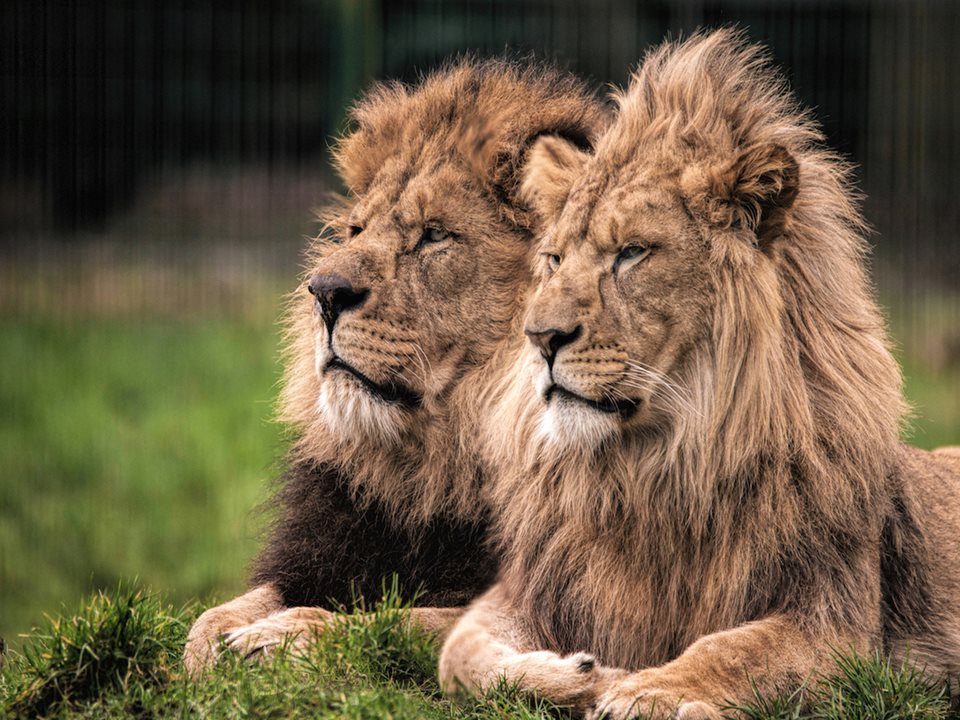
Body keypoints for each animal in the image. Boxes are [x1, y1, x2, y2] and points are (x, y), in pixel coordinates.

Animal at [182, 59, 608, 672]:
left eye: (434, 235)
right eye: (357, 231)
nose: (323, 292)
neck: (431, 472)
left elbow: (392, 623)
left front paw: (281, 639)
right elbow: (218, 613)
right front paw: (203, 655)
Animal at [438, 29, 960, 720]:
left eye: (632, 253)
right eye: (552, 259)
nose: (540, 337)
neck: (657, 468)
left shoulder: (839, 626)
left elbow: (732, 648)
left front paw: (649, 689)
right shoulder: (530, 593)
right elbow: (459, 652)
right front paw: (575, 675)